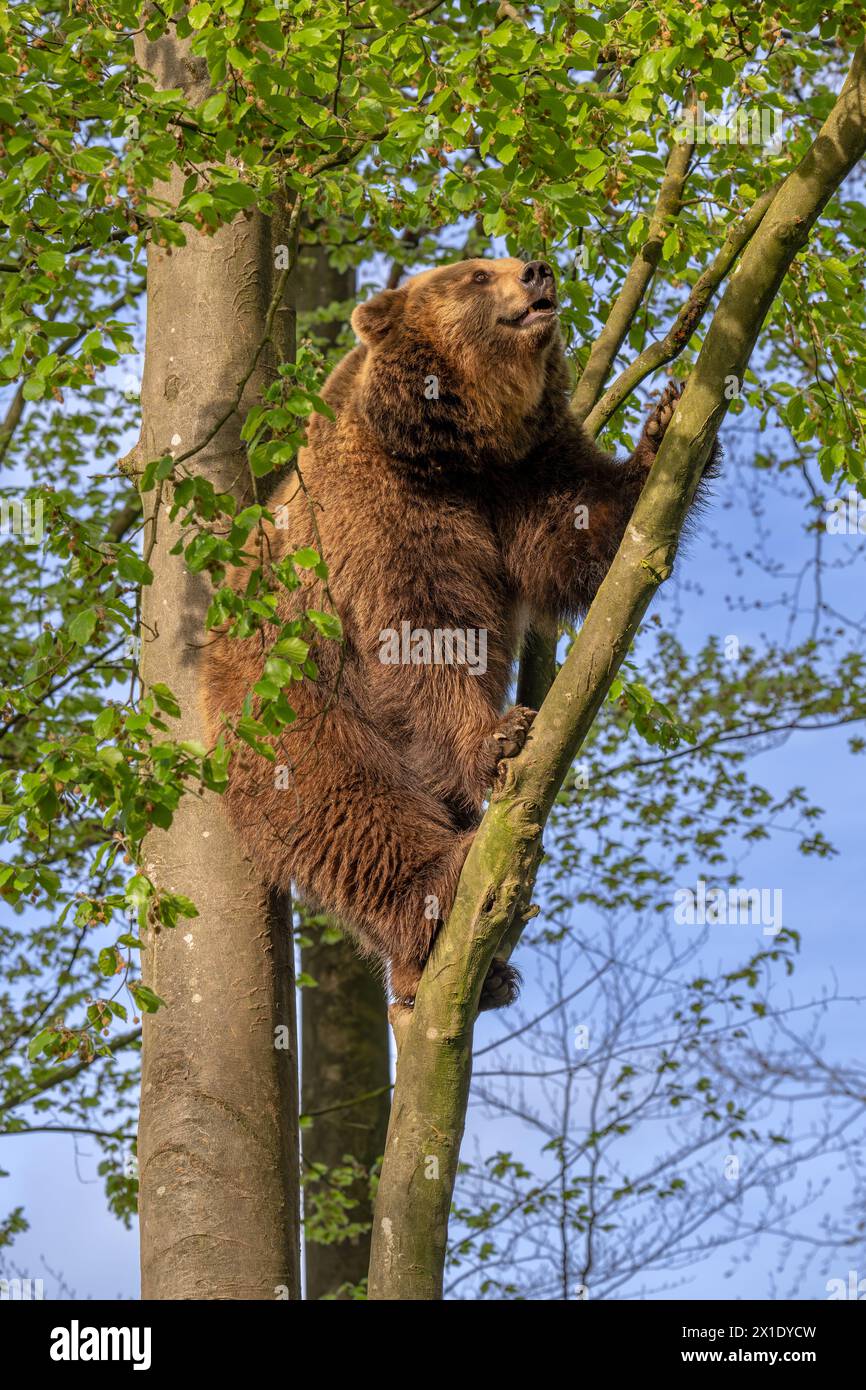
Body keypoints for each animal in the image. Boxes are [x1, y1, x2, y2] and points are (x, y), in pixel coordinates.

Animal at [201, 256, 705, 1010]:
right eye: (475, 275)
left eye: (506, 260)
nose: (537, 271)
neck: (455, 449)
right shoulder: (381, 518)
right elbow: (425, 638)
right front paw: (501, 734)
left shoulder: (524, 474)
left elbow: (581, 532)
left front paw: (666, 425)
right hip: (288, 699)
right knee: (345, 802)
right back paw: (437, 891)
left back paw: (467, 968)